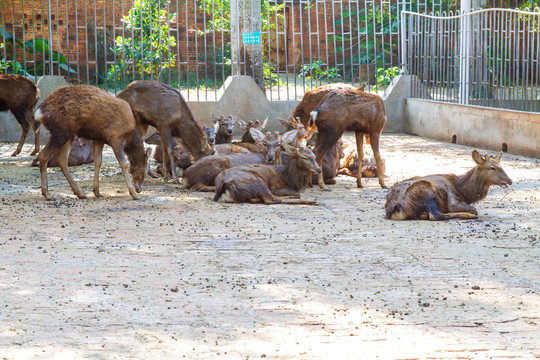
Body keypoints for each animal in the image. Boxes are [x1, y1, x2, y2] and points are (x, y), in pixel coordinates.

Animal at [382, 150, 512, 221]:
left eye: (501, 166)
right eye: (492, 168)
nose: (510, 180)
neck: (464, 192)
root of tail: (395, 208)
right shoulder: (453, 201)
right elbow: (474, 209)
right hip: (427, 192)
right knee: (435, 216)